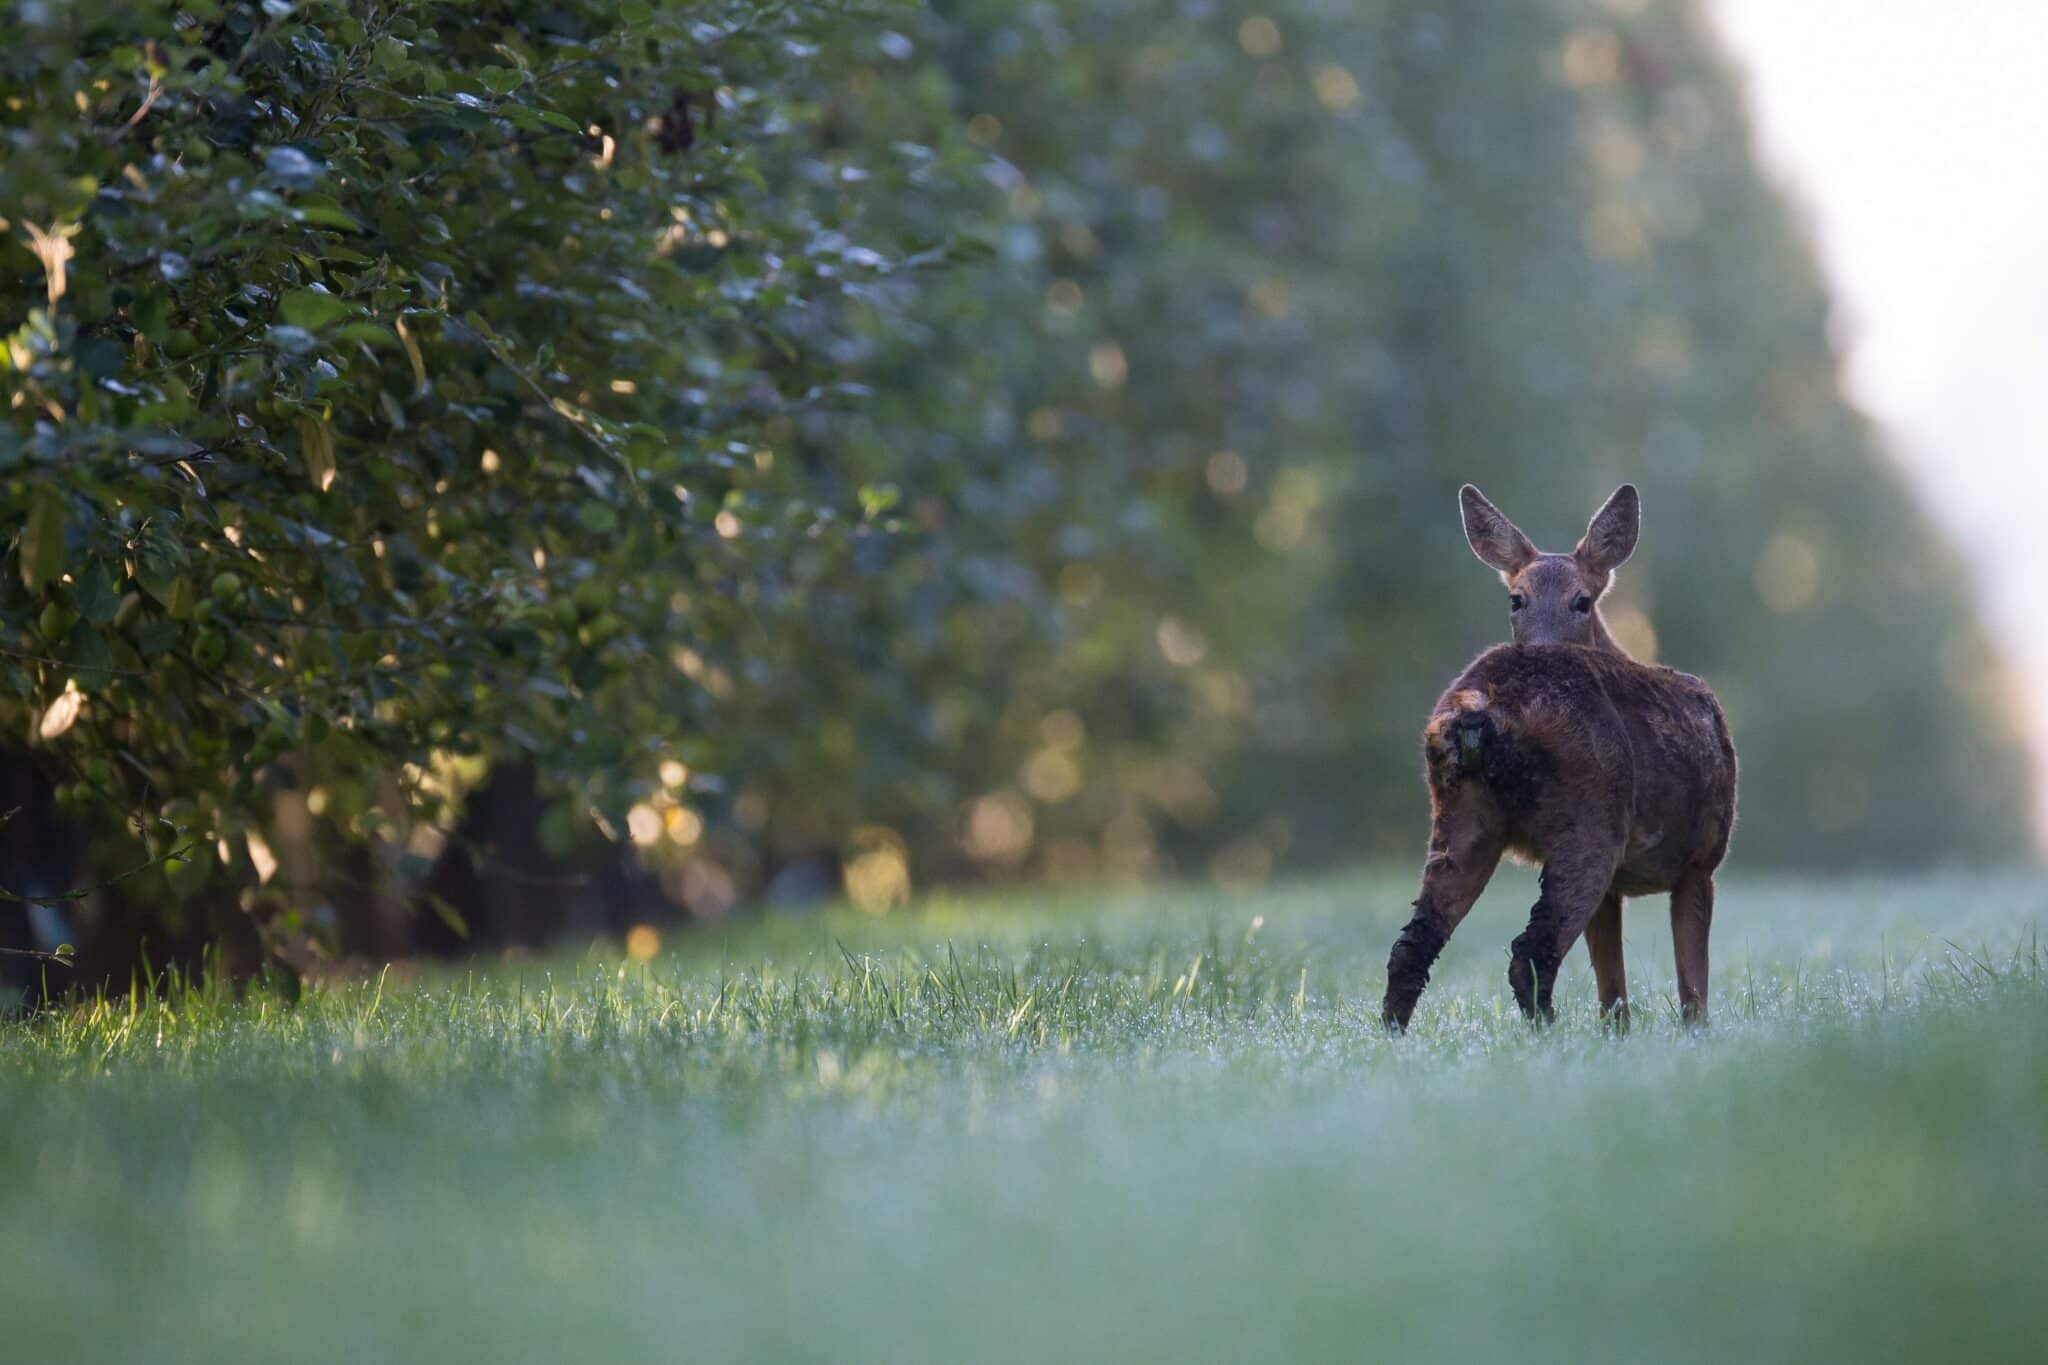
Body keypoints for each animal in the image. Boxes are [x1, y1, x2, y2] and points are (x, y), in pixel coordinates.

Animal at [1384, 485, 1736, 1031]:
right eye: (1516, 599)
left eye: (1582, 601)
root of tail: (1482, 706)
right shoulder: (1701, 860)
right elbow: (1691, 987)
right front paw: (1696, 1034)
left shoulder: (1620, 888)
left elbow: (1613, 991)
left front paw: (1618, 1036)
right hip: (1590, 821)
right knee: (1530, 951)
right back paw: (1548, 1032)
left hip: (1461, 816)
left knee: (1413, 945)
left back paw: (1393, 1034)